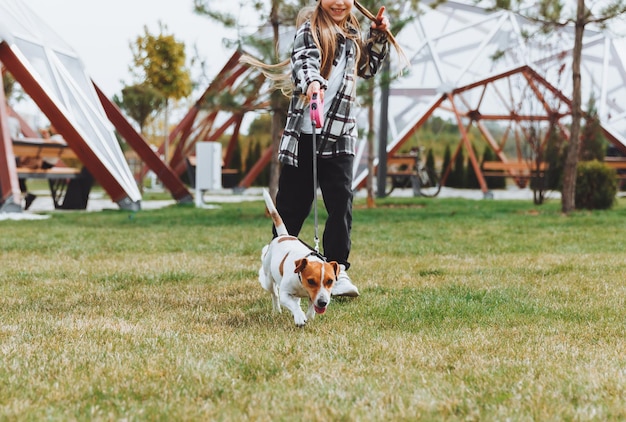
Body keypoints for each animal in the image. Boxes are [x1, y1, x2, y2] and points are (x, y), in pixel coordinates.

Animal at [258, 190, 338, 328]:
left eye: (330, 281)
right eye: (311, 281)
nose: (323, 302)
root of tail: (284, 235)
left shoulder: (312, 297)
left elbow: (310, 307)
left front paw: (308, 317)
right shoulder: (285, 294)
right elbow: (292, 304)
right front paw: (300, 317)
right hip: (269, 279)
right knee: (274, 294)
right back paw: (277, 310)